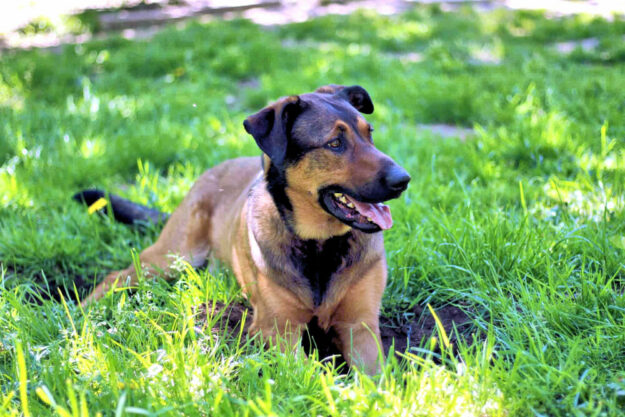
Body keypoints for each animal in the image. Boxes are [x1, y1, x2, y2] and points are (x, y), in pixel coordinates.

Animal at [75, 85, 410, 374]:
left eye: (370, 134)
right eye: (335, 143)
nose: (403, 180)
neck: (320, 245)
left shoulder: (360, 326)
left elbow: (377, 379)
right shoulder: (277, 330)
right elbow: (313, 374)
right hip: (173, 255)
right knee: (117, 276)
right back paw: (82, 313)